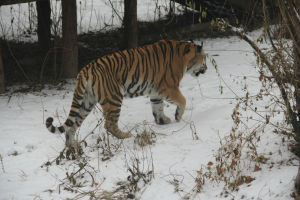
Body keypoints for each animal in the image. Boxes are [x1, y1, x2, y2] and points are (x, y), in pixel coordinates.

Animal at [45, 40, 207, 147]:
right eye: (204, 59)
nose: (206, 69)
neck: (184, 56)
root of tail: (85, 70)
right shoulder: (169, 87)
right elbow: (183, 100)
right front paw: (177, 117)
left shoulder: (156, 91)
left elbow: (157, 107)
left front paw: (162, 121)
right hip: (114, 98)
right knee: (109, 125)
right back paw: (126, 136)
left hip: (86, 102)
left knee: (72, 126)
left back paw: (72, 146)